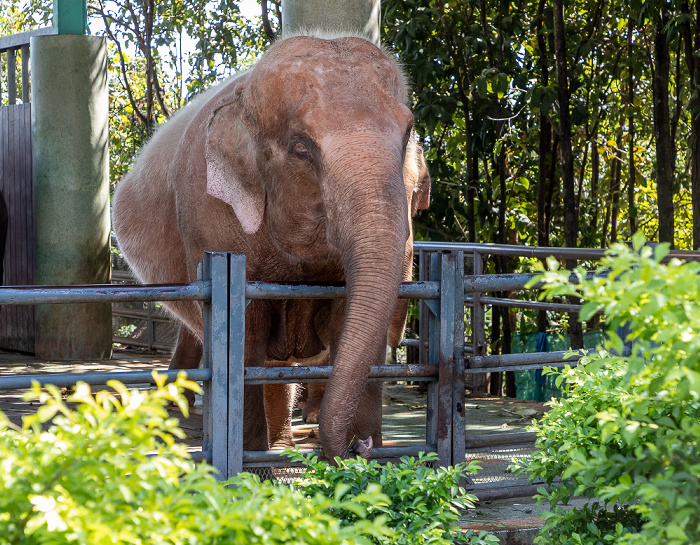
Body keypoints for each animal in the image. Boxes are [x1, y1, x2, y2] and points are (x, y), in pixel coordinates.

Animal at [112, 31, 430, 460]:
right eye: (301, 148)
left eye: (407, 133)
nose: (359, 446)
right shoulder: (210, 213)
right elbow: (245, 332)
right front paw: (252, 470)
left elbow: (351, 318)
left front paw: (375, 464)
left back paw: (283, 446)